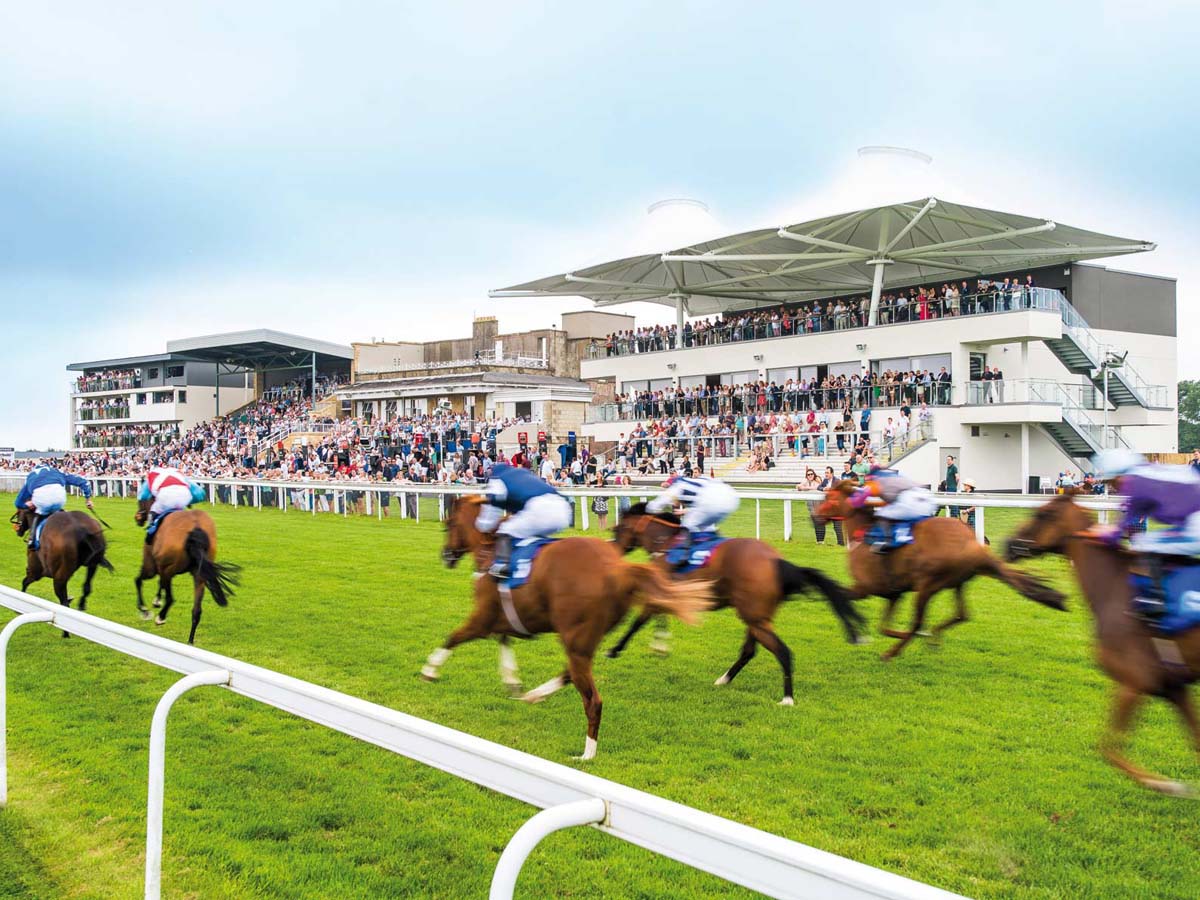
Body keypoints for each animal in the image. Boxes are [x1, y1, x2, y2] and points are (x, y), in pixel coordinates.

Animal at [135, 496, 237, 643]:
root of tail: (196, 527)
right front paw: (157, 600)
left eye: (140, 500)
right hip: (200, 576)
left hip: (167, 570)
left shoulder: (153, 567)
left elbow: (138, 581)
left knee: (170, 598)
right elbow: (159, 584)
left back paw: (160, 618)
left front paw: (145, 610)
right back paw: (190, 641)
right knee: (196, 611)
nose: (137, 518)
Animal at [424, 496, 710, 763]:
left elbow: (454, 637)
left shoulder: (482, 619)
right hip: (584, 639)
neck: (490, 550)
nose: (446, 555)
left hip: (575, 638)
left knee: (592, 699)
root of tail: (620, 569)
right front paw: (512, 681)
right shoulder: (502, 618)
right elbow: (503, 640)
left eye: (449, 524)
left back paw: (587, 753)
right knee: (571, 673)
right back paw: (535, 695)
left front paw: (430, 670)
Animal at [609, 508, 864, 705]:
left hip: (755, 617)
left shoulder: (661, 592)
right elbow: (657, 617)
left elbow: (639, 620)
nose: (614, 550)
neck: (665, 543)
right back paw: (724, 679)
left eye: (616, 530)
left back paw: (787, 698)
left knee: (782, 651)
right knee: (749, 651)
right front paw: (660, 645)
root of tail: (776, 561)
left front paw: (616, 649)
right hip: (757, 617)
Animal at [811, 480, 1065, 662]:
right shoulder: (893, 593)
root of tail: (973, 544)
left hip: (927, 585)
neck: (862, 534)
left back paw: (896, 650)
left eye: (828, 497)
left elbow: (845, 598)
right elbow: (883, 626)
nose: (815, 515)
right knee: (962, 614)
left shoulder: (865, 587)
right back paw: (932, 637)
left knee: (918, 622)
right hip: (956, 583)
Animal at [1003, 494, 1200, 796]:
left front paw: (1167, 785)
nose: (1008, 545)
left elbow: (1108, 749)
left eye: (1042, 514)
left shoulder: (1134, 683)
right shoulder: (1174, 687)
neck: (1115, 588)